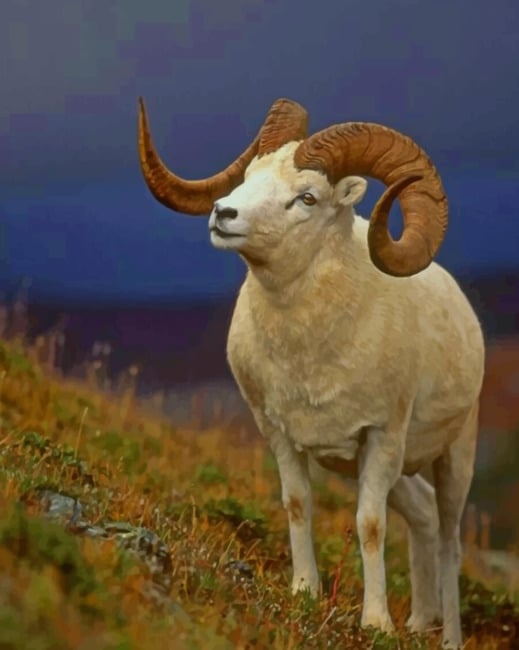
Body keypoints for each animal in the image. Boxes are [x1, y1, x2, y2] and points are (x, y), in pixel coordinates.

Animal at [137, 96, 485, 648]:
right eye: (250, 175)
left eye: (307, 197)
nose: (223, 213)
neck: (311, 351)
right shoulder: (280, 433)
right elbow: (298, 503)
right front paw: (305, 592)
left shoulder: (381, 437)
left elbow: (369, 525)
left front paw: (375, 622)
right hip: (394, 469)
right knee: (425, 517)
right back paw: (419, 622)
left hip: (454, 455)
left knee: (449, 540)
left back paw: (445, 635)